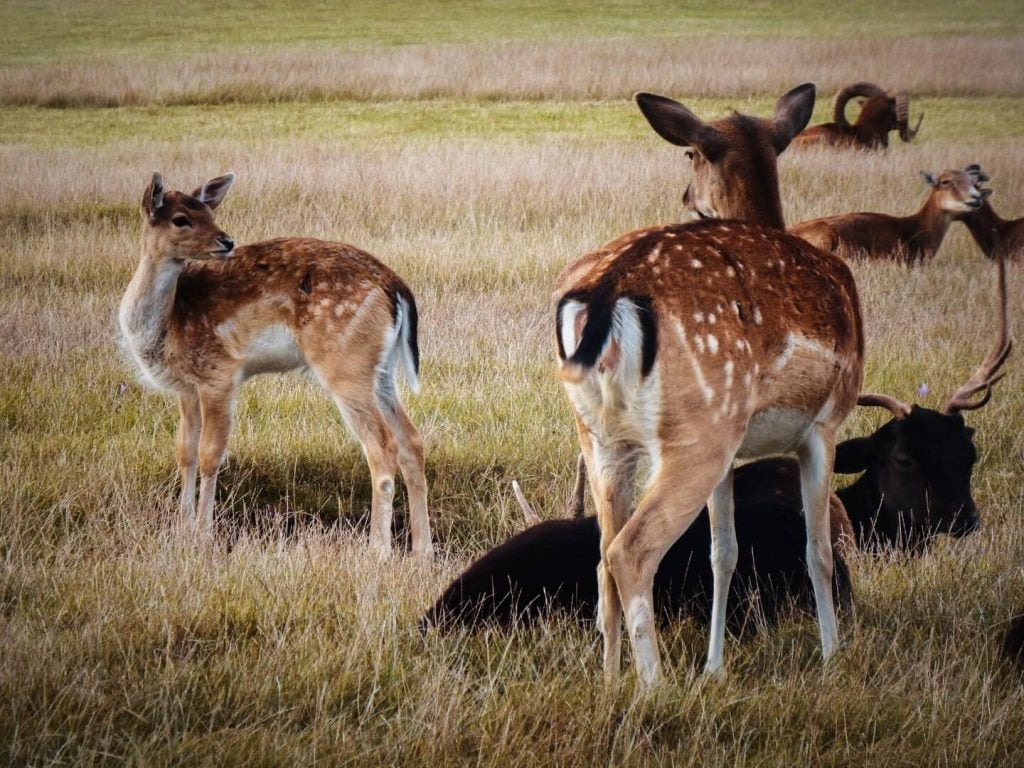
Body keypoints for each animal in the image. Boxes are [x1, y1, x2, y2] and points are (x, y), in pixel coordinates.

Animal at [118, 174, 432, 561]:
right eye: (181, 219)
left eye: (209, 212)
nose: (227, 241)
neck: (169, 324)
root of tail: (396, 288)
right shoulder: (187, 388)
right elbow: (185, 452)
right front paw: (182, 529)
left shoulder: (220, 373)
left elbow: (210, 455)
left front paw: (204, 537)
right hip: (381, 370)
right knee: (411, 440)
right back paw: (422, 551)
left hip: (345, 363)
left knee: (382, 445)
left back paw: (377, 551)